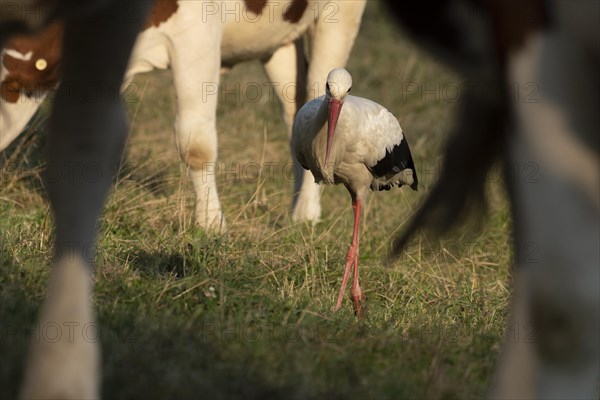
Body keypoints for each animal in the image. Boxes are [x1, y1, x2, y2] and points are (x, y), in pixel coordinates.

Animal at [0, 0, 368, 231]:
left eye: (9, 87)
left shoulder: (197, 34)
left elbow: (196, 144)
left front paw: (212, 224)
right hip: (279, 37)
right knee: (297, 111)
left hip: (340, 15)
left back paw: (306, 214)